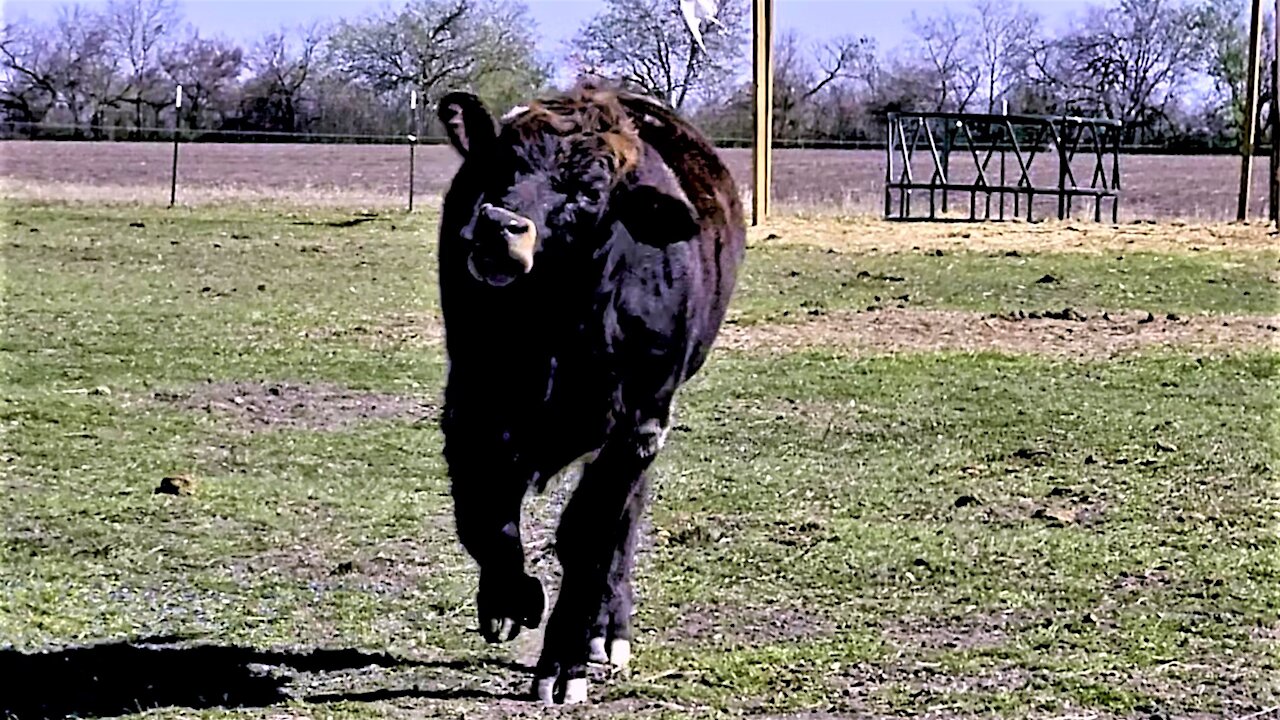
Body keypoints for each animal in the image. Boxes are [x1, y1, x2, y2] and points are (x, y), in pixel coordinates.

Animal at [435, 82, 747, 702]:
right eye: (501, 164)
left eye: (589, 191)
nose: (498, 225)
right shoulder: (471, 409)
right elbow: (484, 517)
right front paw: (511, 597)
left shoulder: (637, 424)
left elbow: (588, 537)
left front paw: (563, 663)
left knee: (624, 521)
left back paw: (608, 633)